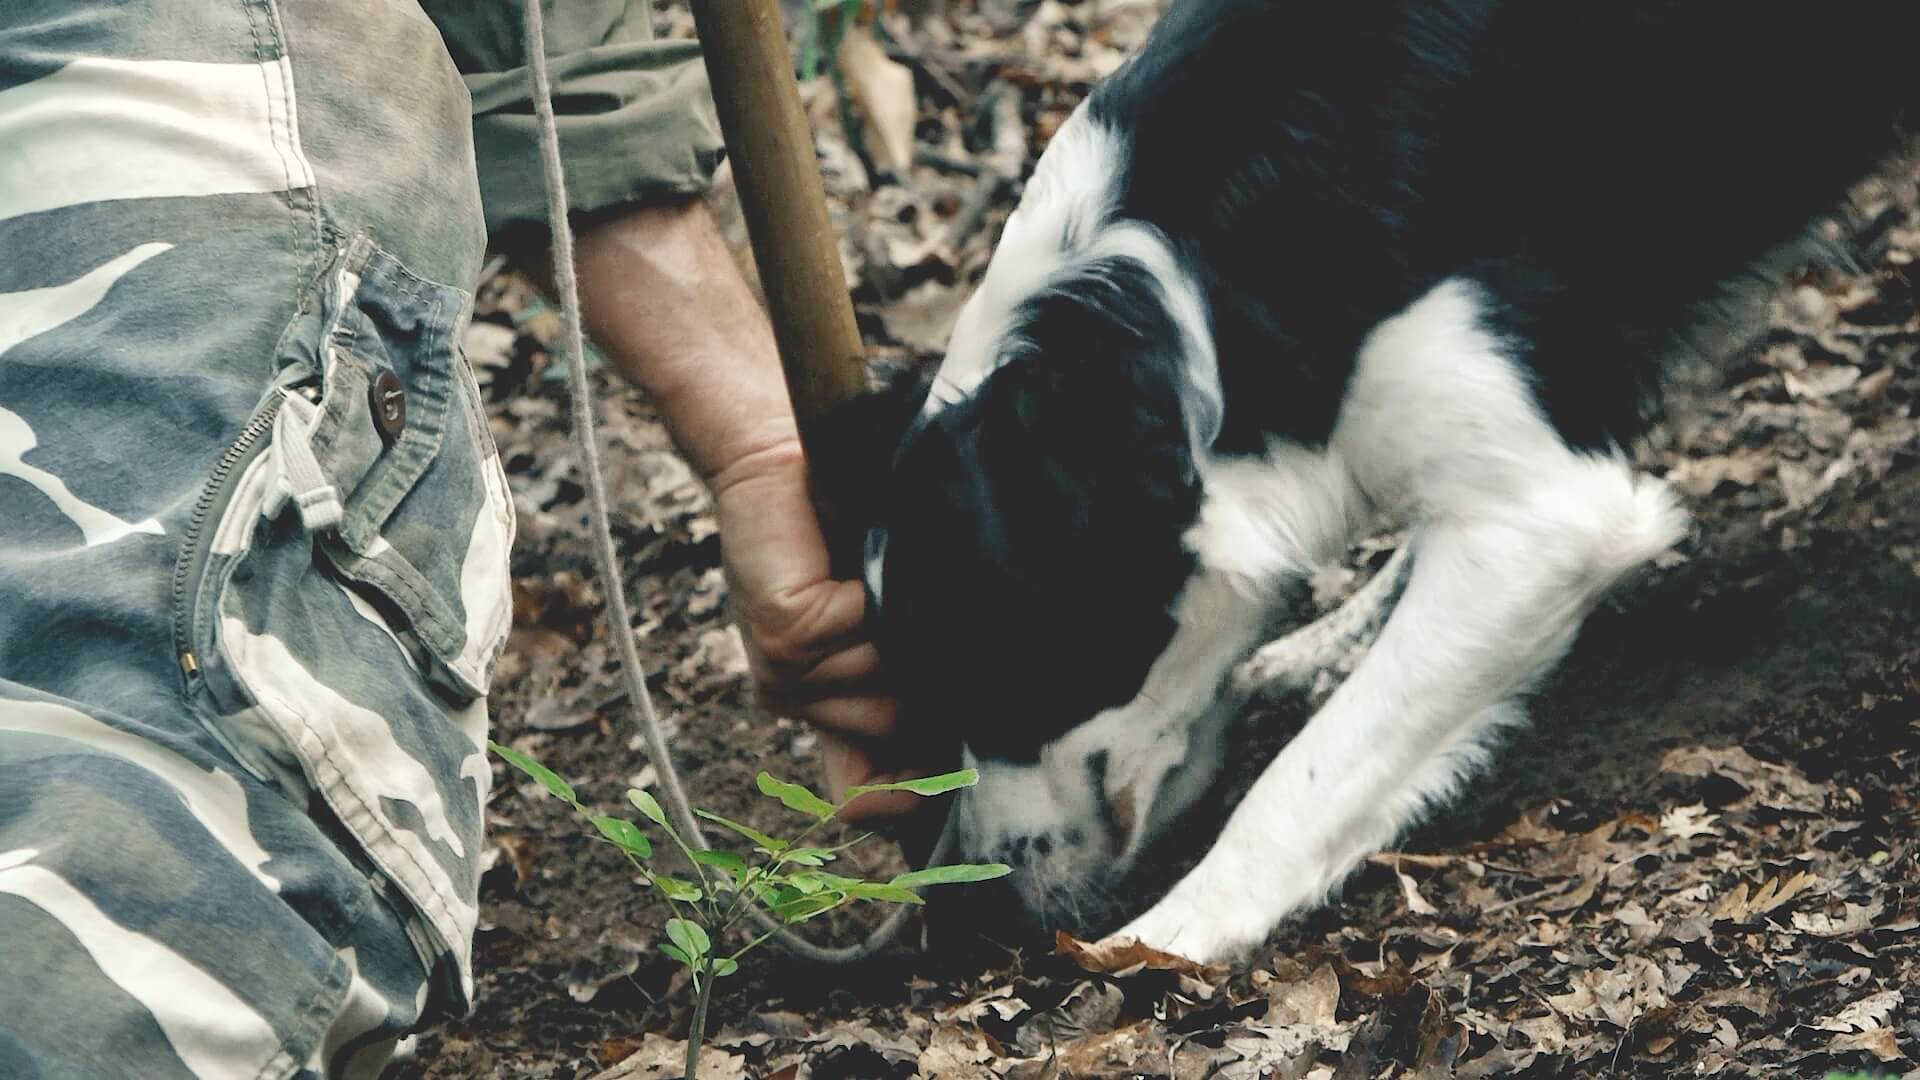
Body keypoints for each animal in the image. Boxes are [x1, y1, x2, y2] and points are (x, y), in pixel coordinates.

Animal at [840, 0, 1920, 957]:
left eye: (1006, 674)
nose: (980, 913)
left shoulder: (1547, 514)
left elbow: (1312, 767)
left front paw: (1177, 930)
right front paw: (1335, 637)